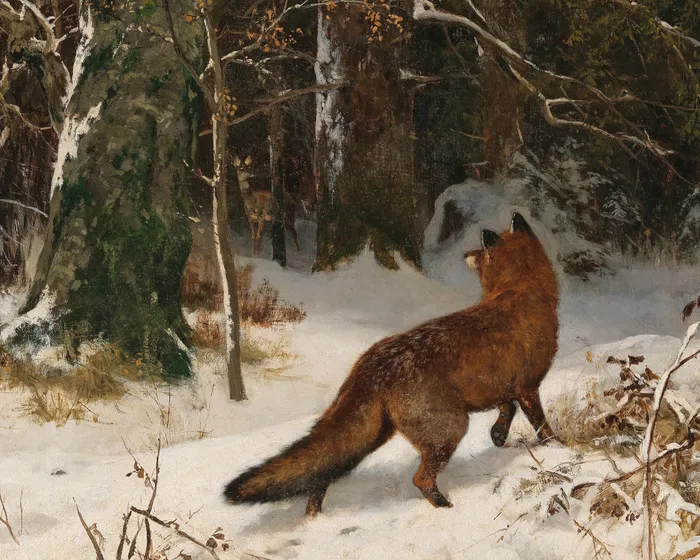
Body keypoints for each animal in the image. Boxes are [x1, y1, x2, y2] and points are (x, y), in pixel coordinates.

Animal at [223, 212, 558, 516]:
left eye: (479, 250)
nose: (465, 254)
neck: (522, 293)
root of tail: (372, 362)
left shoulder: (505, 385)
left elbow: (507, 408)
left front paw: (499, 436)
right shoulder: (527, 387)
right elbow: (541, 425)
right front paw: (557, 447)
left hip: (373, 435)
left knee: (322, 475)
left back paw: (313, 519)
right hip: (449, 429)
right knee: (420, 479)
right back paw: (445, 506)